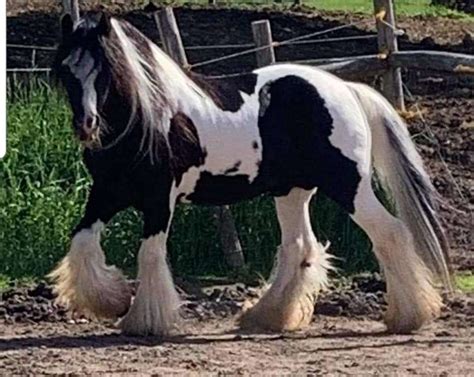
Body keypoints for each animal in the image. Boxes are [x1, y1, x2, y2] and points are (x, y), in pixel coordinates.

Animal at [49, 12, 452, 334]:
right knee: (299, 246)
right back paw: (267, 316)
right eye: (66, 70)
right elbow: (81, 242)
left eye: (104, 70)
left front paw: (143, 321)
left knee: (390, 233)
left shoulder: (160, 200)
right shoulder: (106, 193)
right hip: (292, 190)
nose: (86, 125)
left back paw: (408, 317)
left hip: (347, 185)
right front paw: (112, 300)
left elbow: (149, 254)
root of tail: (346, 88)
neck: (147, 119)